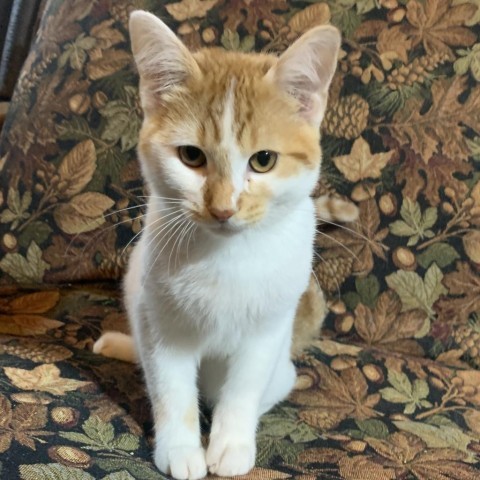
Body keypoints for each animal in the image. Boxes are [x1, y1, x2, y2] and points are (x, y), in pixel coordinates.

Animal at [93, 10, 352, 480]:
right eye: (191, 156)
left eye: (263, 160)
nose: (223, 208)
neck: (226, 256)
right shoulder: (160, 322)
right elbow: (170, 388)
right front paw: (180, 449)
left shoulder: (267, 331)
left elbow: (243, 390)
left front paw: (230, 444)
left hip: (283, 368)